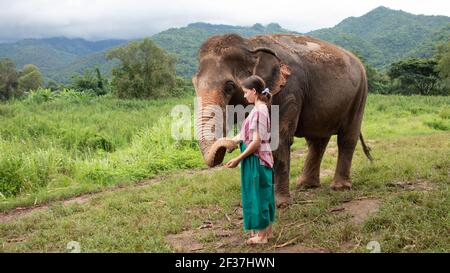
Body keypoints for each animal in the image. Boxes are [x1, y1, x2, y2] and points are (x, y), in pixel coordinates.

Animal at [193, 33, 372, 206]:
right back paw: (306, 185)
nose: (228, 147)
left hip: (360, 94)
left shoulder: (289, 91)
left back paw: (340, 187)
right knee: (317, 142)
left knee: (347, 138)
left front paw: (280, 204)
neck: (250, 44)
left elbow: (279, 139)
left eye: (229, 86)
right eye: (194, 83)